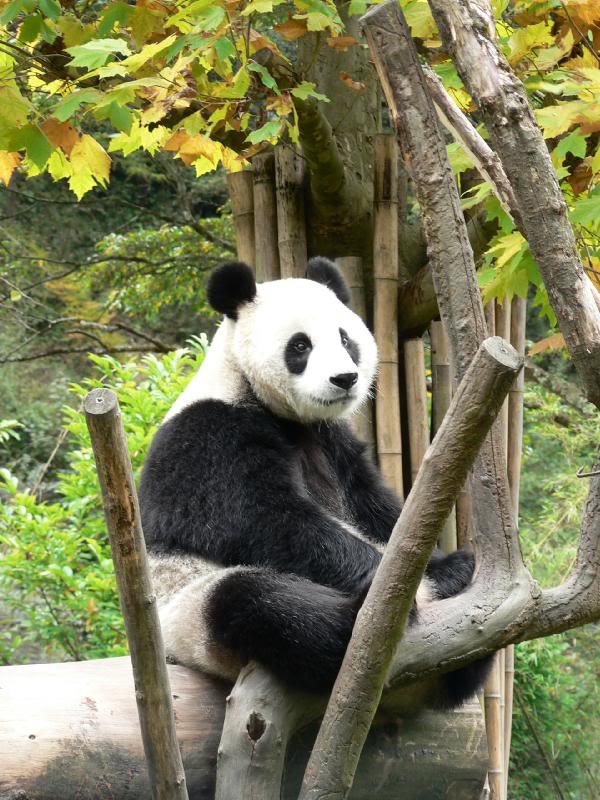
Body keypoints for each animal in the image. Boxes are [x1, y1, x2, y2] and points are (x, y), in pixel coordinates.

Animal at [138, 257, 490, 710]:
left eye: (345, 339)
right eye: (300, 346)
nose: (344, 379)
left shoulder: (333, 441)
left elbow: (377, 508)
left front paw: (444, 566)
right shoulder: (211, 438)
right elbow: (268, 522)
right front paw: (410, 580)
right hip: (188, 607)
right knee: (260, 604)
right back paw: (356, 619)